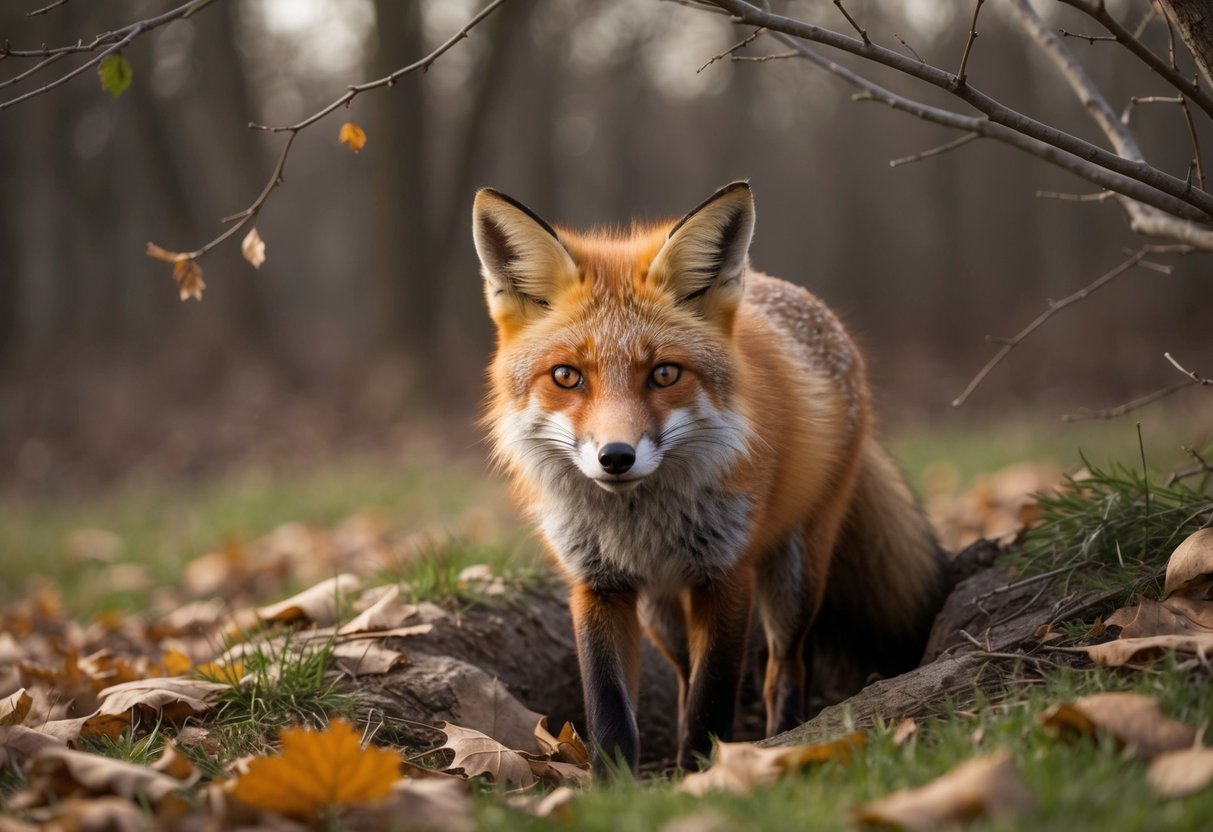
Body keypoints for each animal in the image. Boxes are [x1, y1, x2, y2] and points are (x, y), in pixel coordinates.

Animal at [472, 181, 948, 772]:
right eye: (566, 376)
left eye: (664, 373)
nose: (615, 457)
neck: (640, 523)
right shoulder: (598, 584)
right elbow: (610, 706)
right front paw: (614, 782)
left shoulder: (726, 574)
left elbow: (712, 698)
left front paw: (701, 774)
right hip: (661, 614)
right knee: (682, 675)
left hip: (795, 575)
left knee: (785, 667)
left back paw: (786, 734)